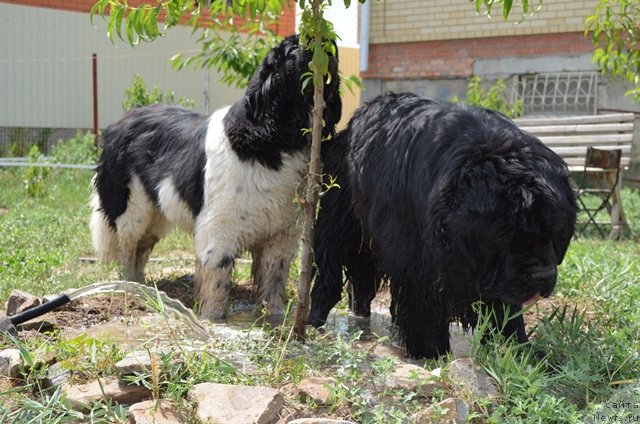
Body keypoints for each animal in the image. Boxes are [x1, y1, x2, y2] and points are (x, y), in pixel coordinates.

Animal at [90, 34, 342, 320]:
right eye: (294, 48)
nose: (328, 39)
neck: (276, 140)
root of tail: (120, 122)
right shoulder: (219, 227)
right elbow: (217, 273)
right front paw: (212, 317)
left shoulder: (282, 233)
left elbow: (274, 277)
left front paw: (274, 316)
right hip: (132, 210)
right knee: (127, 249)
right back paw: (129, 287)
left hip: (158, 213)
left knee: (141, 250)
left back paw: (142, 286)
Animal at [308, 92, 576, 358]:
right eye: (512, 236)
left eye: (556, 233)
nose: (543, 276)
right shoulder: (416, 255)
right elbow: (423, 304)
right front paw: (432, 353)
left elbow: (504, 311)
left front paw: (521, 350)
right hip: (339, 214)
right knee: (329, 270)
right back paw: (313, 323)